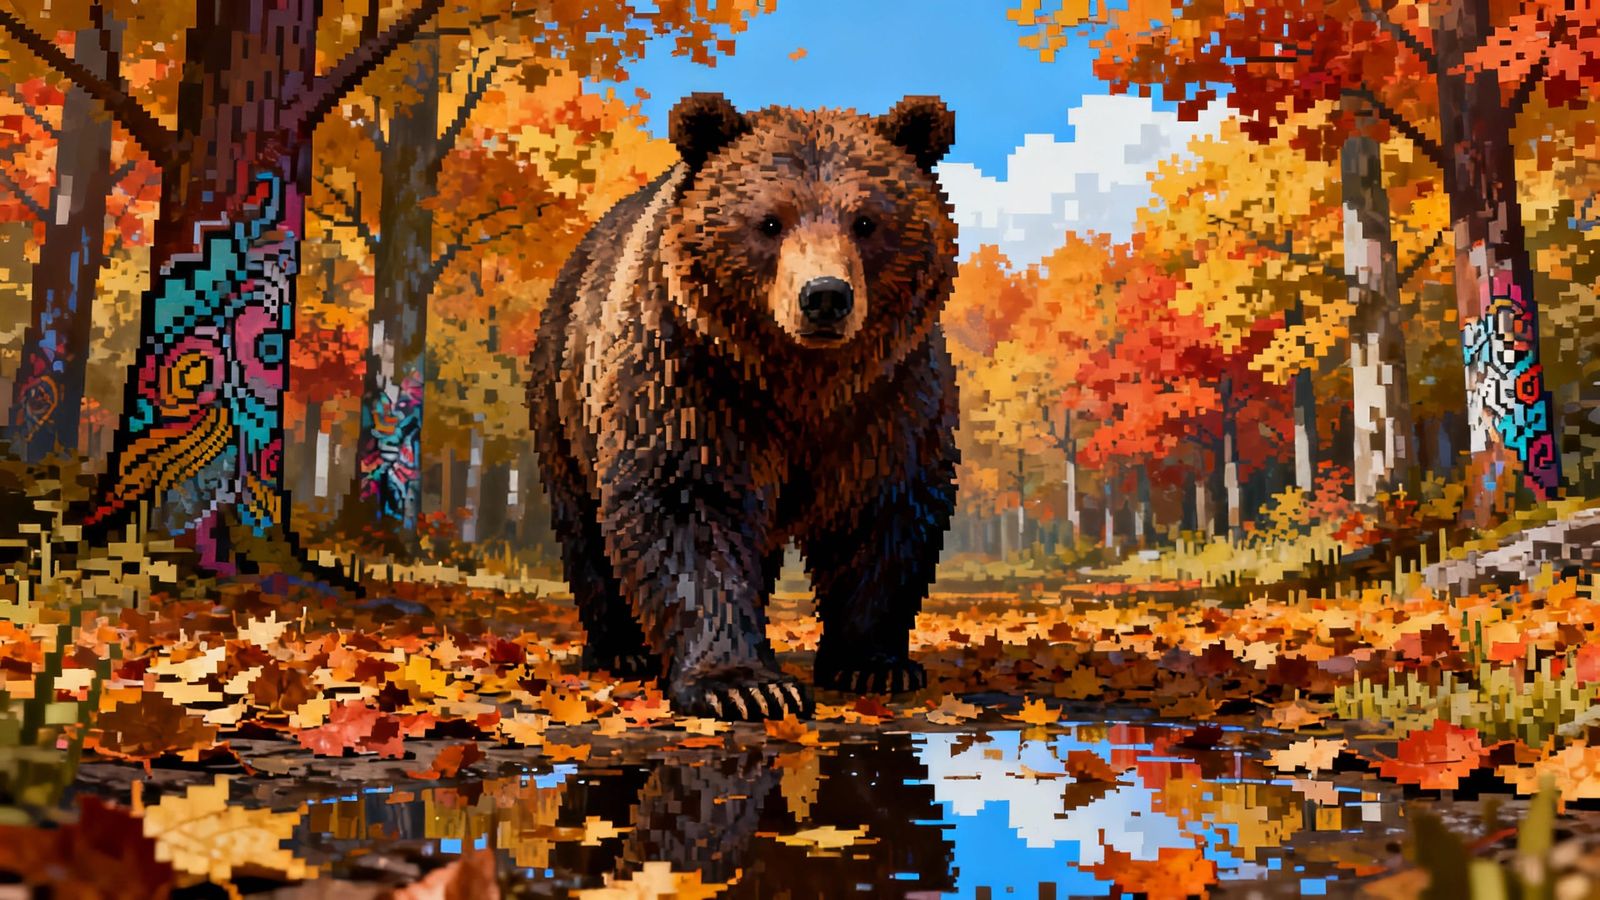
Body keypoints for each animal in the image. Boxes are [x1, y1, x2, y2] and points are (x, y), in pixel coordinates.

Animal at [527, 92, 960, 721]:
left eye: (865, 221)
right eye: (769, 222)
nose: (824, 296)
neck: (801, 379)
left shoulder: (889, 397)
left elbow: (884, 515)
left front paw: (873, 663)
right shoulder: (690, 375)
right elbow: (687, 505)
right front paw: (743, 684)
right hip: (564, 399)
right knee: (585, 526)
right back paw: (621, 651)